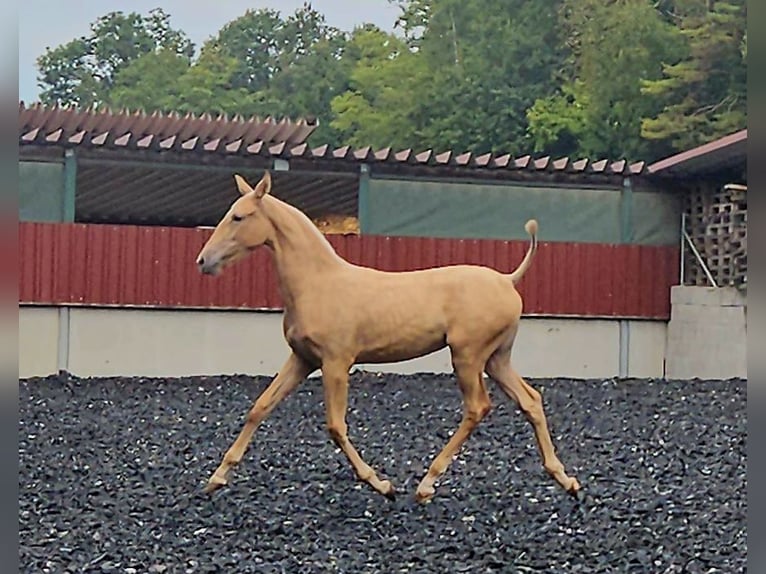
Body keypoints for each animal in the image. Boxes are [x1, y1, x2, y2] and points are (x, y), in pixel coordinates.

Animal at [196, 170, 584, 504]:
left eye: (239, 217)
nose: (203, 261)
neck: (318, 283)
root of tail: (507, 279)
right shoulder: (302, 359)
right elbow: (259, 407)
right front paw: (215, 479)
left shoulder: (336, 362)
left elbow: (335, 426)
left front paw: (382, 485)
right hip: (496, 358)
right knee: (530, 400)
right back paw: (566, 481)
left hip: (468, 356)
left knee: (478, 407)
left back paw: (426, 484)